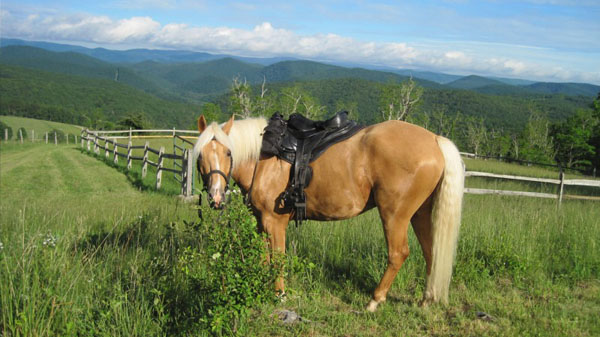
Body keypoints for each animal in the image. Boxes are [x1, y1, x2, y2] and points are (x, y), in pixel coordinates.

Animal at [195, 114, 466, 312]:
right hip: (419, 213)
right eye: (200, 155)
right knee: (431, 252)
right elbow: (265, 258)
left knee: (398, 254)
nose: (216, 197)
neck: (263, 159)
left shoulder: (274, 222)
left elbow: (278, 259)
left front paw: (280, 295)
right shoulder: (261, 222)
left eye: (228, 152)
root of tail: (434, 139)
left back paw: (375, 300)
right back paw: (426, 300)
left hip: (395, 215)